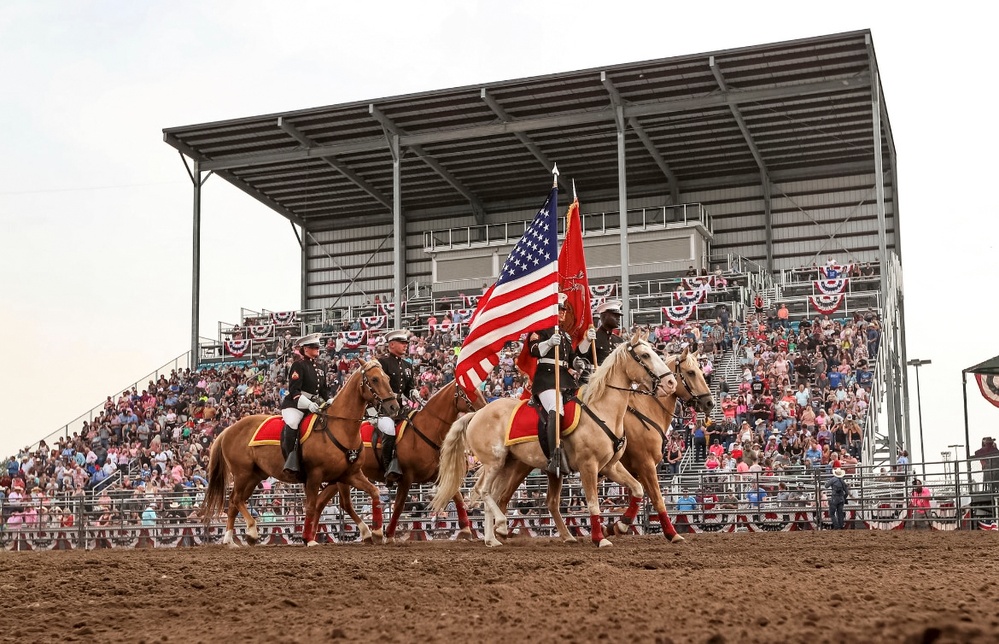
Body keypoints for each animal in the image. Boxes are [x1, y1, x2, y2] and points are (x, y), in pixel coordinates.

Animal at [201, 360, 400, 544]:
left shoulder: (350, 474)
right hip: (242, 473)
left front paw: (375, 532)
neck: (339, 427)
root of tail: (228, 429)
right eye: (374, 379)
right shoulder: (314, 476)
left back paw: (236, 538)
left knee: (236, 502)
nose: (394, 407)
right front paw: (308, 539)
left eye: (387, 378)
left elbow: (373, 492)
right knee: (235, 499)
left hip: (254, 476)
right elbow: (311, 506)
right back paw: (245, 533)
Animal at [326, 382, 486, 544]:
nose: (484, 408)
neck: (426, 429)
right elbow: (398, 505)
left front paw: (465, 530)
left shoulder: (436, 475)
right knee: (345, 503)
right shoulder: (406, 477)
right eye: (467, 390)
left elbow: (457, 496)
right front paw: (390, 534)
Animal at [432, 332, 672, 548]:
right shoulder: (589, 466)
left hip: (507, 464)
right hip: (495, 462)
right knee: (483, 490)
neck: (601, 410)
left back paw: (492, 538)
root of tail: (476, 414)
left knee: (491, 493)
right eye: (645, 355)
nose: (670, 382)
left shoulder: (611, 466)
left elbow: (638, 489)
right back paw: (501, 524)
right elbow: (593, 503)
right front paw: (600, 538)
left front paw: (620, 525)